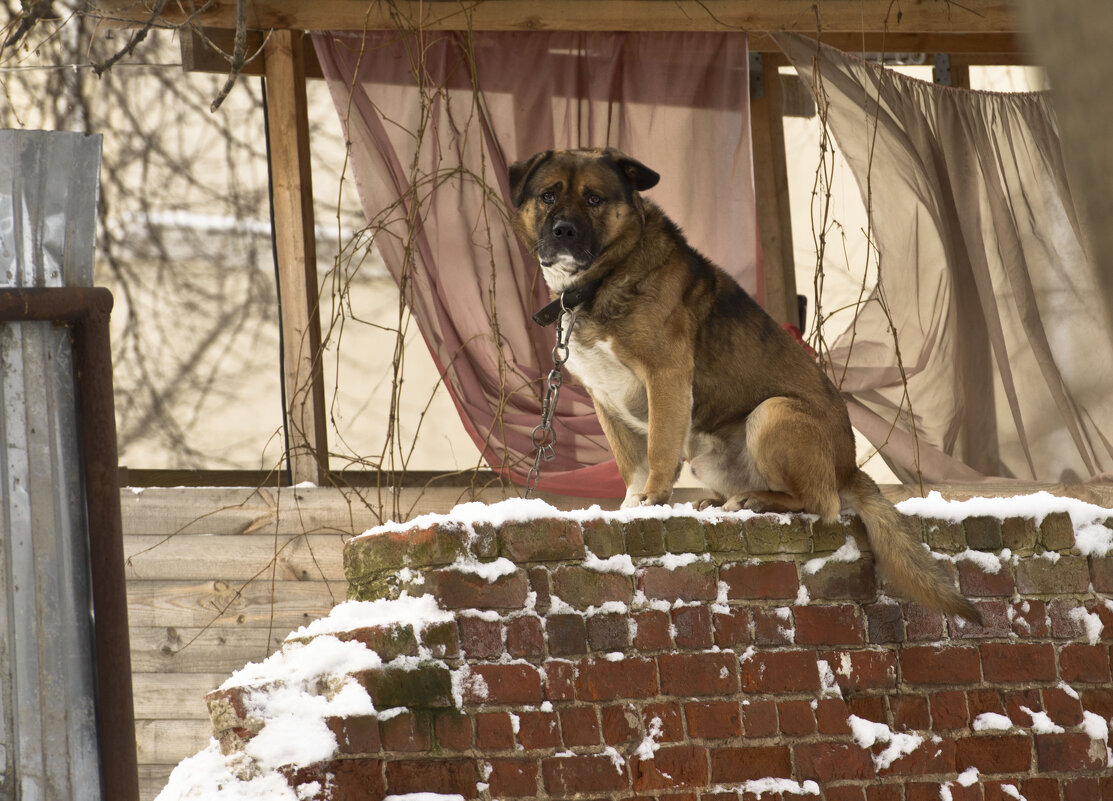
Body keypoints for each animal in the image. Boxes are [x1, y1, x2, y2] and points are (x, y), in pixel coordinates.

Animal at [509, 146, 979, 623]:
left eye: (594, 199)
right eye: (548, 195)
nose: (563, 231)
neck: (602, 278)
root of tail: (849, 468)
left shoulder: (666, 376)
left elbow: (657, 450)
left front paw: (651, 502)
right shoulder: (604, 399)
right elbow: (631, 465)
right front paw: (628, 509)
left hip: (773, 412)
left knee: (820, 503)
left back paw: (754, 500)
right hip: (706, 453)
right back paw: (720, 502)